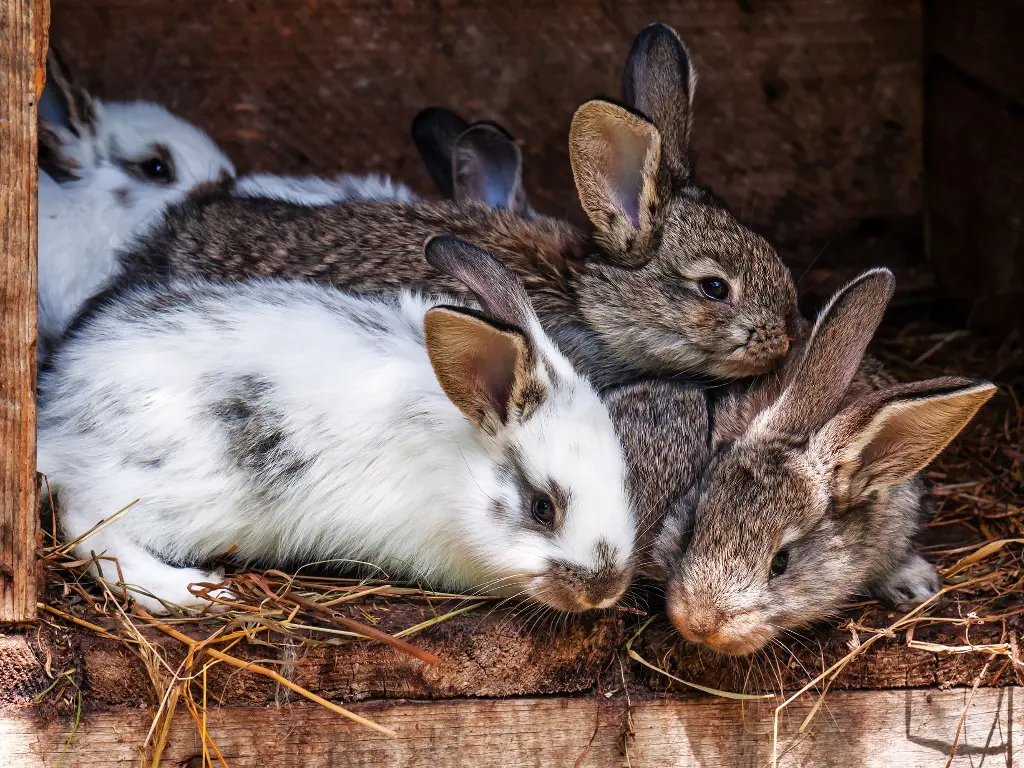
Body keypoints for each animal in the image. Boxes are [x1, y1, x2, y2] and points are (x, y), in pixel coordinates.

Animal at [39, 237, 634, 618]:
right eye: (543, 508)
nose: (606, 590)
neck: (459, 462)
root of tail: (58, 414)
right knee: (88, 525)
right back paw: (192, 591)